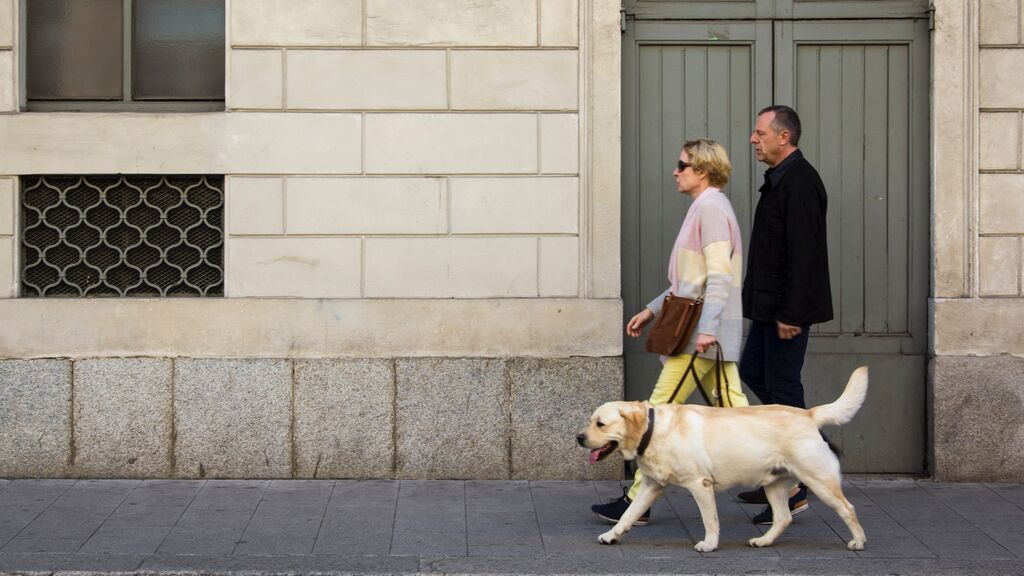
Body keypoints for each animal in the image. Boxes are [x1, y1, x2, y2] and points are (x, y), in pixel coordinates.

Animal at [573, 364, 868, 549]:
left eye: (600, 424)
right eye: (591, 421)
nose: (579, 438)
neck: (653, 430)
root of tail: (808, 413)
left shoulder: (700, 485)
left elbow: (710, 520)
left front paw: (710, 544)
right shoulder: (651, 486)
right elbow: (628, 514)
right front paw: (612, 535)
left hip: (819, 480)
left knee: (849, 508)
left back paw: (859, 542)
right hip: (773, 484)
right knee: (784, 517)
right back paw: (764, 541)